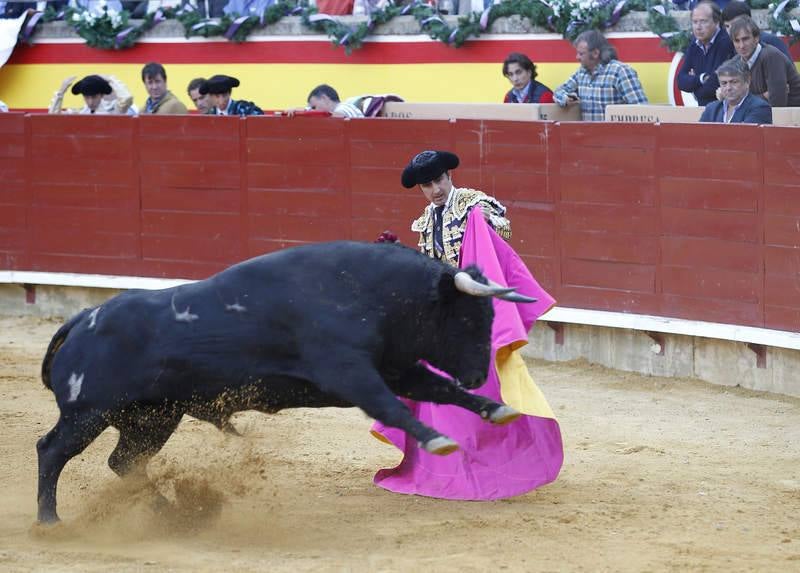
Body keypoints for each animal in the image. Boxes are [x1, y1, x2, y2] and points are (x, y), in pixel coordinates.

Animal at [39, 239, 536, 520]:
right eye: (469, 319)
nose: (478, 375)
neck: (373, 290)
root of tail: (83, 319)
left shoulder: (396, 368)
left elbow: (439, 389)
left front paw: (497, 409)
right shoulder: (350, 371)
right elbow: (390, 407)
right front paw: (438, 440)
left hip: (154, 419)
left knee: (124, 463)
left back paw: (171, 513)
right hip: (88, 413)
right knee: (52, 452)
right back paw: (49, 521)